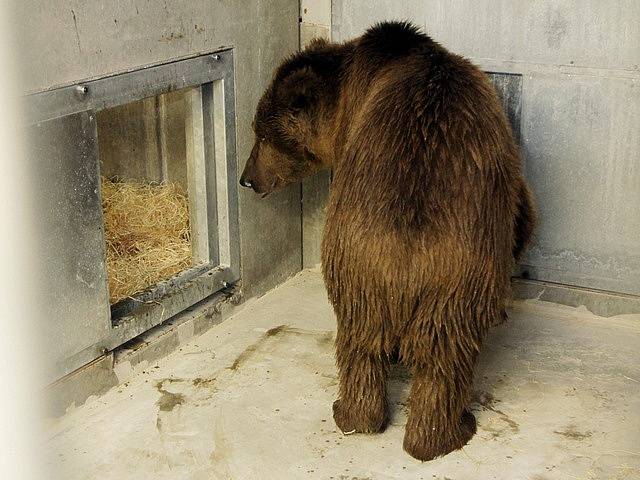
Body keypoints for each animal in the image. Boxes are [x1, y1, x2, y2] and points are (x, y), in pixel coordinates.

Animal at [239, 20, 536, 460]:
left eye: (261, 135)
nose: (247, 178)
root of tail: (405, 256)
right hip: (433, 273)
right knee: (431, 356)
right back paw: (441, 429)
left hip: (374, 262)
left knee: (369, 342)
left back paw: (371, 419)